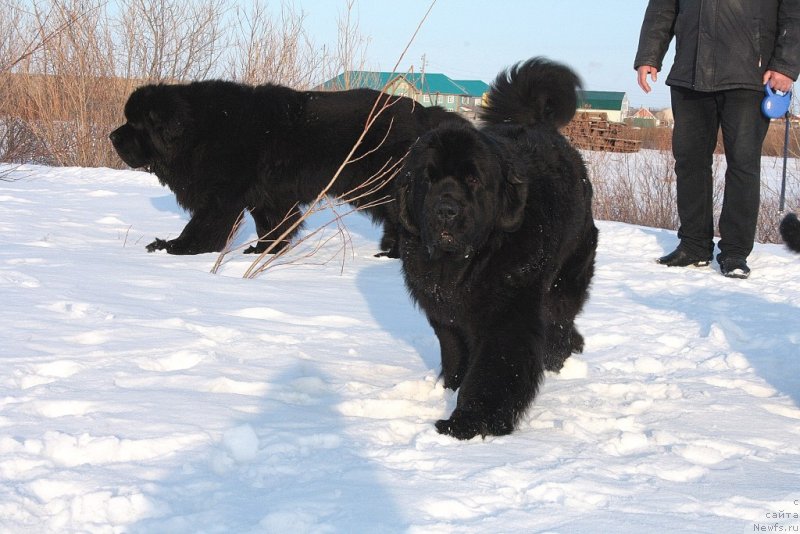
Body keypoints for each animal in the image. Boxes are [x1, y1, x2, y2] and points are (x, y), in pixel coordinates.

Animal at [109, 79, 466, 258]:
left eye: (136, 124)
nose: (112, 136)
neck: (200, 129)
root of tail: (427, 113)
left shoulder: (222, 197)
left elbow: (204, 225)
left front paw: (177, 247)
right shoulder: (268, 196)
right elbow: (273, 225)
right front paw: (264, 250)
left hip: (382, 184)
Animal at [396, 58, 596, 442]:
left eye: (473, 179)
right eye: (428, 178)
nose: (446, 210)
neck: (466, 264)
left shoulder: (508, 315)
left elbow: (494, 371)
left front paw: (468, 422)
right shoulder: (445, 314)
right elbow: (455, 355)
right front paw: (451, 390)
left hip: (566, 276)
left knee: (559, 319)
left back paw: (558, 356)